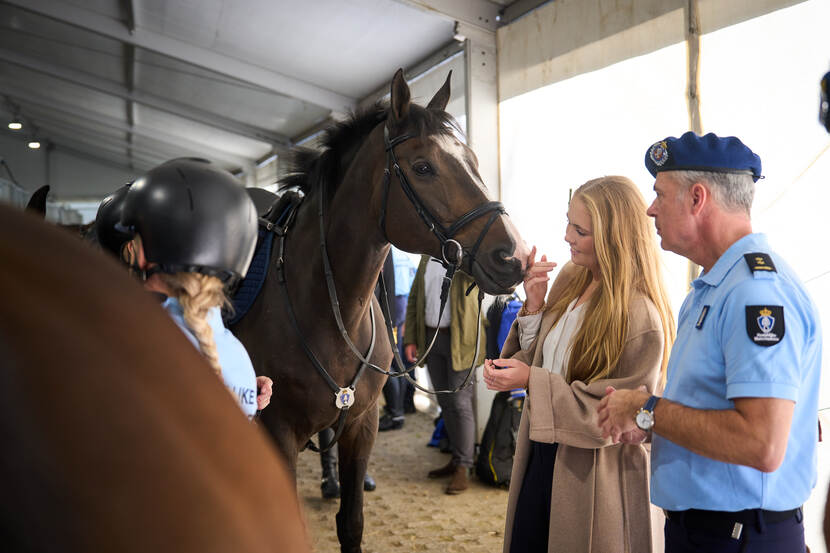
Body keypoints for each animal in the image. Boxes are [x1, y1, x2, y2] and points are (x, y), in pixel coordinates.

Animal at [231, 70, 528, 552]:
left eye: (472, 160)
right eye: (423, 167)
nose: (514, 257)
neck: (327, 306)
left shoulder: (360, 423)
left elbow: (351, 522)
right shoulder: (277, 433)